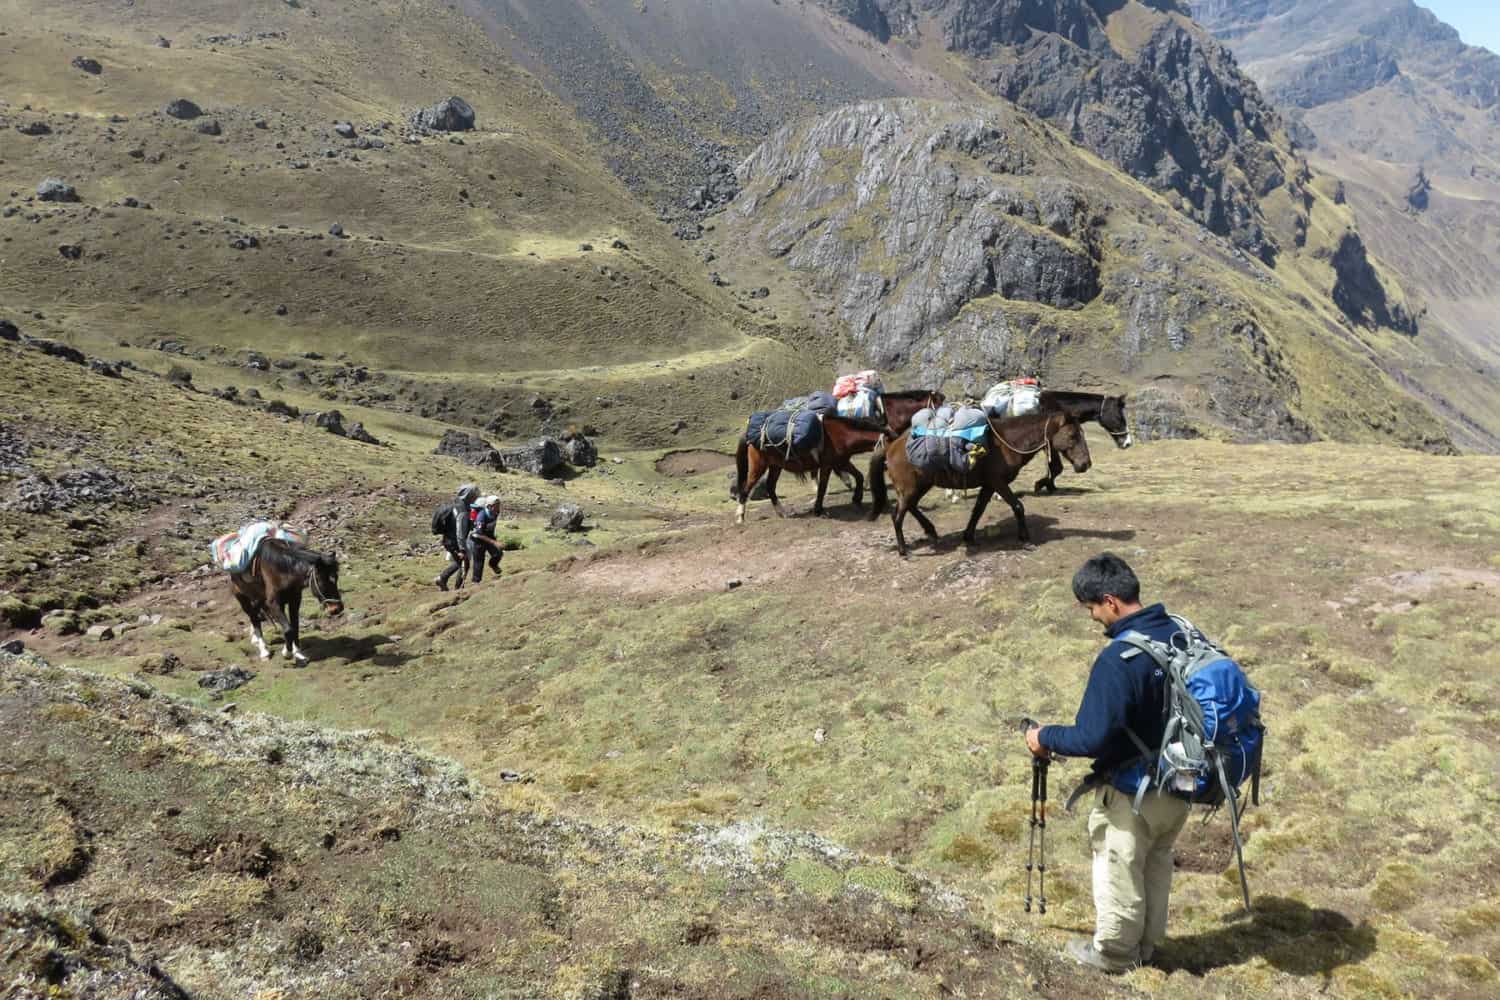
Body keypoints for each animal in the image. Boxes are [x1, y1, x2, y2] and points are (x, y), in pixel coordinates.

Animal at [228, 536, 343, 668]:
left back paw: (255, 639)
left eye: (336, 578)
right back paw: (264, 650)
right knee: (254, 619)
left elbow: (294, 627)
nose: (337, 609)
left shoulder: (294, 601)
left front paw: (298, 654)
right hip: (243, 599)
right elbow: (288, 629)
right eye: (322, 581)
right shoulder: (273, 604)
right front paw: (287, 653)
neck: (283, 569)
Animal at [732, 389, 942, 524]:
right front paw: (819, 510)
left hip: (776, 465)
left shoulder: (841, 461)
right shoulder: (828, 464)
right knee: (747, 486)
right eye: (938, 403)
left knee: (770, 486)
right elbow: (824, 486)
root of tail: (749, 431)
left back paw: (782, 512)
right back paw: (740, 516)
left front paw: (856, 498)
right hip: (759, 464)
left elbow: (858, 476)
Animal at [870, 410, 1092, 560]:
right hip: (910, 488)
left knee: (912, 507)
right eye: (1073, 436)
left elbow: (978, 510)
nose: (1086, 464)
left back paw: (931, 531)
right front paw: (1025, 539)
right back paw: (903, 551)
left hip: (919, 486)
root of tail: (891, 446)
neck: (1008, 442)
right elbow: (1018, 506)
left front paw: (968, 536)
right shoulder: (998, 482)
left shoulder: (989, 485)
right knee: (898, 516)